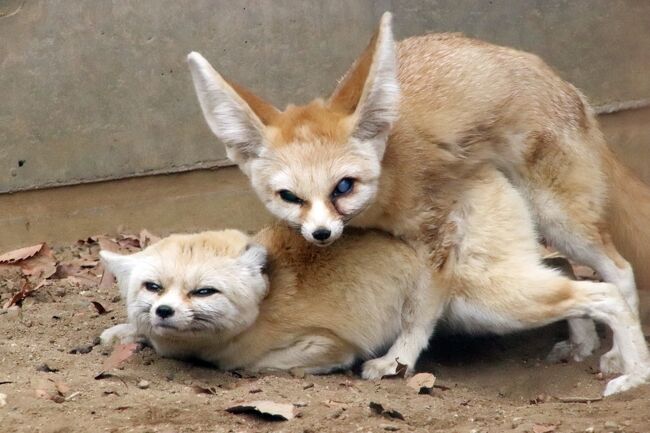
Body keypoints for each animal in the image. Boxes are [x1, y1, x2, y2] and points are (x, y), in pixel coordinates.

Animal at [98, 223, 644, 394]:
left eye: (204, 292)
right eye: (153, 287)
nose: (165, 312)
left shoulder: (326, 340)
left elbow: (259, 365)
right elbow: (132, 333)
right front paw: (127, 331)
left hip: (490, 307)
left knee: (604, 291)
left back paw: (631, 371)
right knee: (568, 269)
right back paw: (582, 343)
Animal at [186, 12, 648, 384]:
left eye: (343, 186)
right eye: (289, 196)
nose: (319, 234)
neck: (389, 177)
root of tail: (565, 84)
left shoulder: (438, 235)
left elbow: (420, 313)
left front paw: (399, 361)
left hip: (559, 219)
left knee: (617, 270)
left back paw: (618, 355)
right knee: (567, 270)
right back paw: (584, 342)